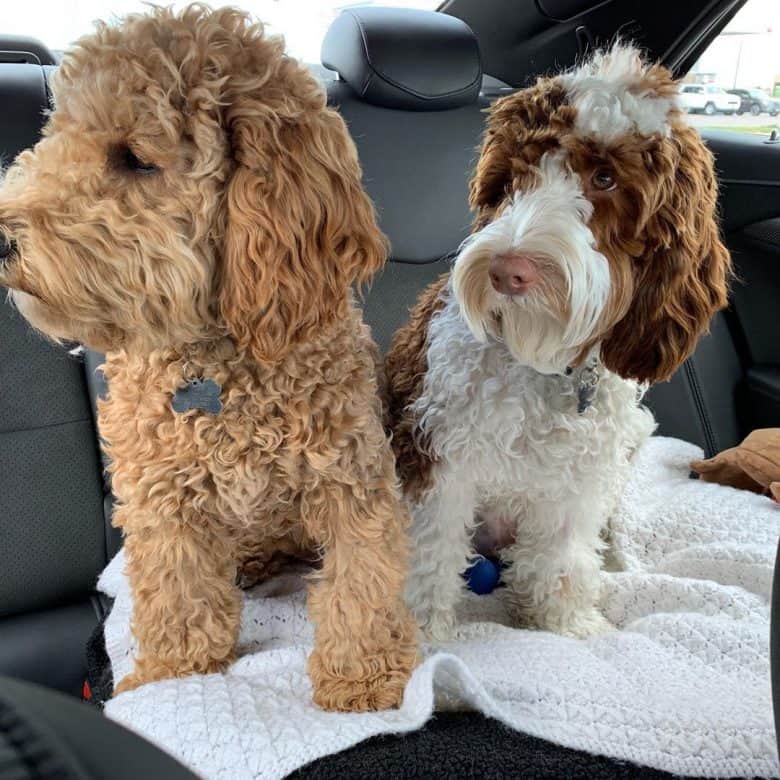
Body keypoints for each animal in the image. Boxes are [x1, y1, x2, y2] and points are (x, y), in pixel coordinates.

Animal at [0, 4, 420, 712]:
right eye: (57, 137)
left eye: (135, 159)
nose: (1, 235)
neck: (217, 364)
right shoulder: (161, 497)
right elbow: (177, 591)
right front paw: (175, 674)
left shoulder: (349, 478)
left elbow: (360, 582)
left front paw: (360, 677)